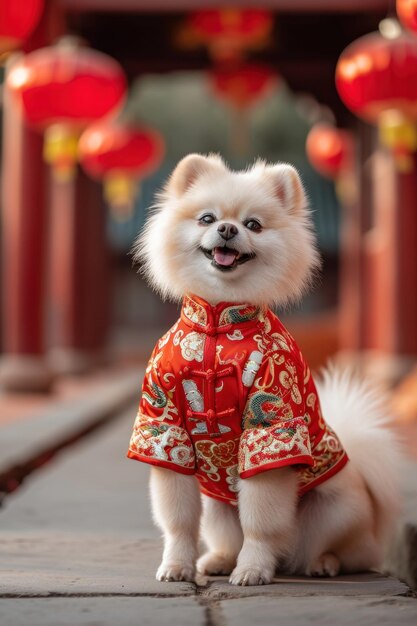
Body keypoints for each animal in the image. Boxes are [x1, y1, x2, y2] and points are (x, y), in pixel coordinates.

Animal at [128, 152, 402, 584]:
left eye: (253, 224)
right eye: (207, 218)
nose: (227, 228)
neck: (218, 324)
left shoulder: (269, 431)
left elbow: (260, 522)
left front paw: (253, 569)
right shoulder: (164, 428)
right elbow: (178, 521)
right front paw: (177, 566)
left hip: (334, 511)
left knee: (350, 552)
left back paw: (322, 563)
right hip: (219, 508)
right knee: (228, 535)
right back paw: (220, 559)